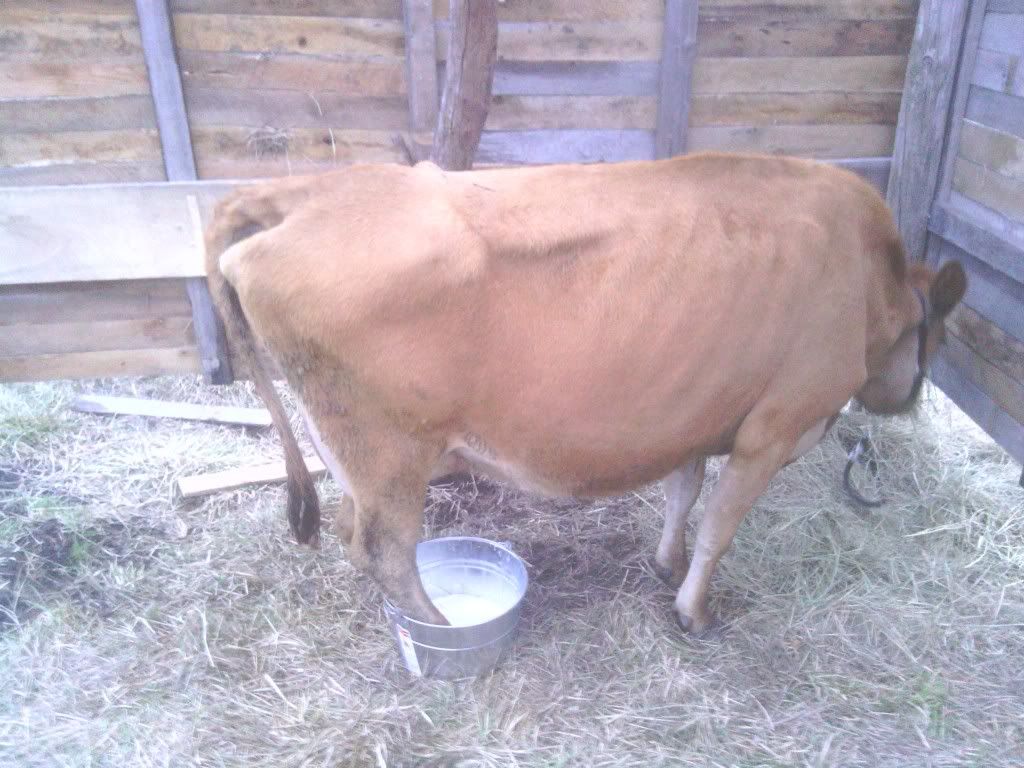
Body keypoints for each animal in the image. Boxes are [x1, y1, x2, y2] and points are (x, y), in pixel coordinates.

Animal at [204, 152, 967, 634]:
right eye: (937, 337)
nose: (910, 399)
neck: (869, 279)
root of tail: (302, 194)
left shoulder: (701, 411)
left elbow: (683, 495)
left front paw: (665, 565)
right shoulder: (776, 426)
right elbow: (720, 526)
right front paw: (695, 611)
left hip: (346, 447)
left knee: (348, 528)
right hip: (390, 448)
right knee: (383, 550)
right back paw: (437, 623)